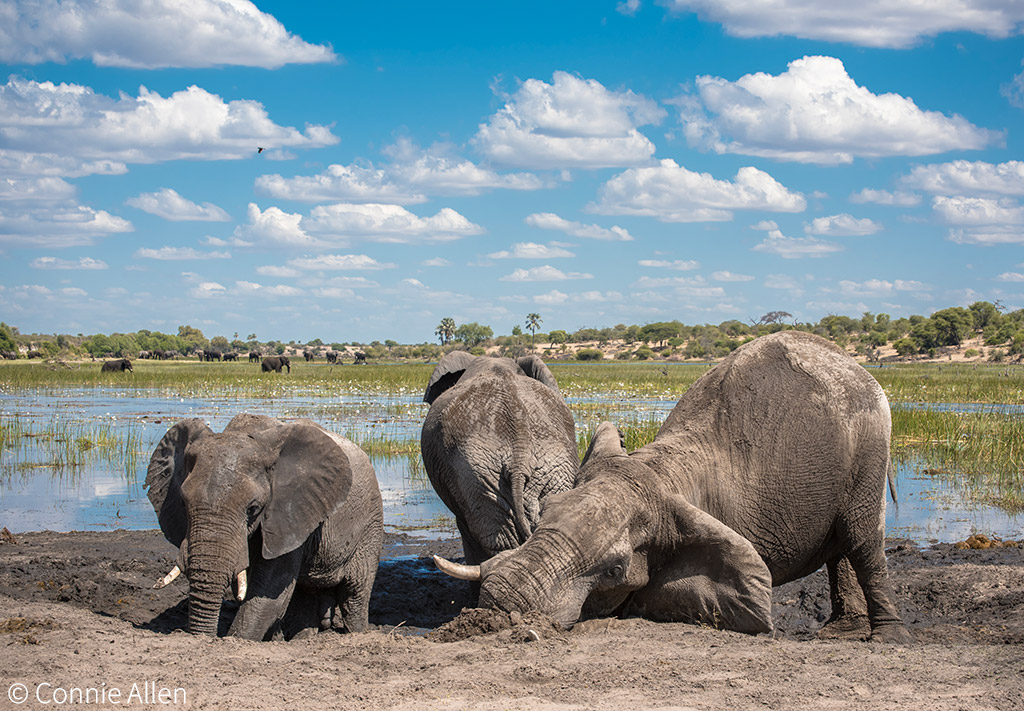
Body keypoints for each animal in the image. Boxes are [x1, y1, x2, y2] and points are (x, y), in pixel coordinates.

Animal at [144, 411, 385, 639]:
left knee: (353, 593)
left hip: (370, 523)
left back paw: (356, 633)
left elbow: (270, 587)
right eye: (184, 503)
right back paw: (302, 639)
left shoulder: (290, 512)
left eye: (253, 508)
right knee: (306, 593)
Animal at [438, 333, 913, 647]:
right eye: (545, 510)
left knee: (862, 540)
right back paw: (842, 633)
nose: (499, 606)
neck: (660, 469)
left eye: (614, 569)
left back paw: (886, 639)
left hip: (871, 447)